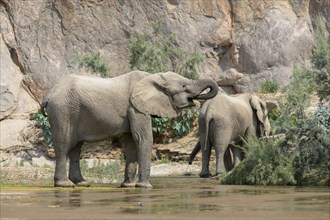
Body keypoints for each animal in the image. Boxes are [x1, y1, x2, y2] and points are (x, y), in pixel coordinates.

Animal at [41, 70, 218, 187]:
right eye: (183, 86)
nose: (190, 163)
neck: (152, 77)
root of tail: (48, 95)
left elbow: (132, 141)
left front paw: (129, 186)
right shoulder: (135, 107)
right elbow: (143, 138)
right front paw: (144, 187)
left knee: (76, 147)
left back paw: (82, 183)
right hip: (62, 110)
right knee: (63, 144)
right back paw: (64, 184)